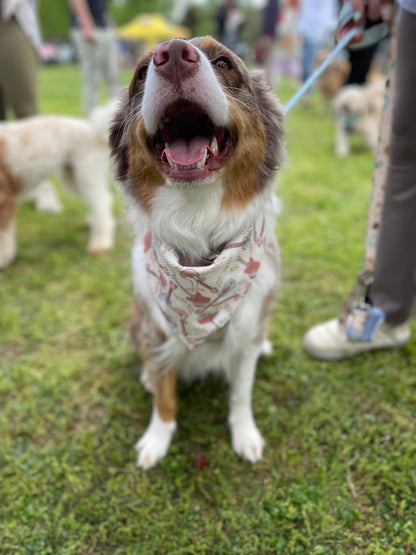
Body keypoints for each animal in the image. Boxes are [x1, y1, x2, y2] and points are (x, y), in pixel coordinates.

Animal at [0, 104, 116, 272]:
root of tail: (89, 128)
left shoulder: (5, 199)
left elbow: (3, 235)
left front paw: (3, 259)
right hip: (73, 176)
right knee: (96, 203)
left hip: (87, 172)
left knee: (102, 203)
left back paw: (100, 243)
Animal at [109, 37, 286, 470]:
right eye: (141, 72)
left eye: (222, 62)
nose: (172, 54)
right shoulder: (157, 327)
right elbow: (164, 393)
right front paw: (156, 439)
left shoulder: (247, 325)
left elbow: (241, 391)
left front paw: (245, 434)